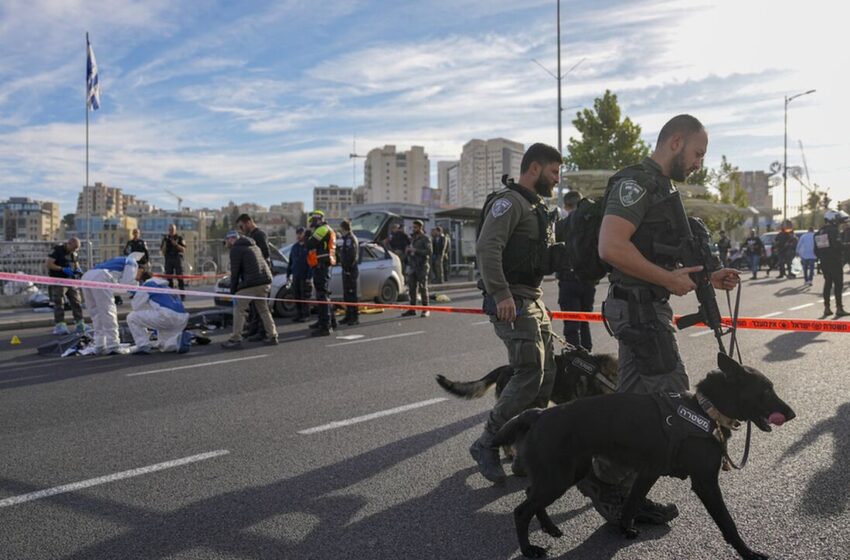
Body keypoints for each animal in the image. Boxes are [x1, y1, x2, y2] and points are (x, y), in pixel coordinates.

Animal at [494, 354, 792, 560]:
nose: (792, 414)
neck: (703, 409)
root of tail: (538, 414)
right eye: (766, 389)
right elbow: (728, 523)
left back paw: (549, 527)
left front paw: (625, 530)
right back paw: (529, 549)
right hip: (559, 478)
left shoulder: (649, 473)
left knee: (531, 494)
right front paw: (748, 552)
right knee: (521, 510)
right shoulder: (705, 484)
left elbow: (631, 503)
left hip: (563, 474)